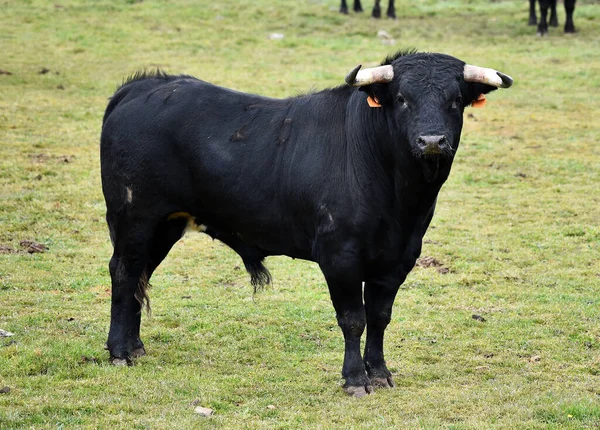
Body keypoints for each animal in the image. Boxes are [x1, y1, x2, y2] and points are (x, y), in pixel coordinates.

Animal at [99, 50, 510, 396]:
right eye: (402, 99)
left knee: (140, 275)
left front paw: (379, 373)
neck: (400, 199)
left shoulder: (397, 260)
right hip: (134, 218)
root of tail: (144, 86)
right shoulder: (339, 257)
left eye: (455, 100)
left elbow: (379, 317)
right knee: (124, 271)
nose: (432, 141)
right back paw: (119, 351)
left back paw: (135, 347)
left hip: (164, 225)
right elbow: (353, 319)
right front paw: (355, 379)